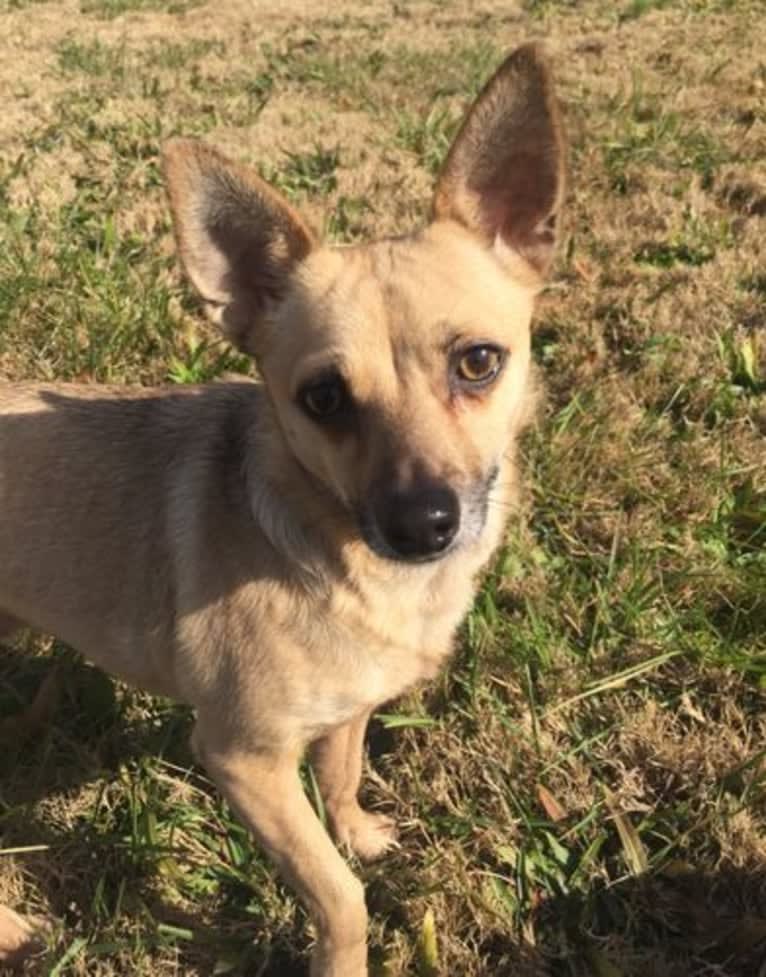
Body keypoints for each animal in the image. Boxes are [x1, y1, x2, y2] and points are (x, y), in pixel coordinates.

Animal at [0, 43, 564, 976]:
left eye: (480, 362)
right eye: (323, 399)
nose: (423, 524)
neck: (337, 555)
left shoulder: (345, 712)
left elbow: (341, 776)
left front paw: (361, 832)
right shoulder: (244, 760)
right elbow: (337, 894)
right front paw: (343, 953)